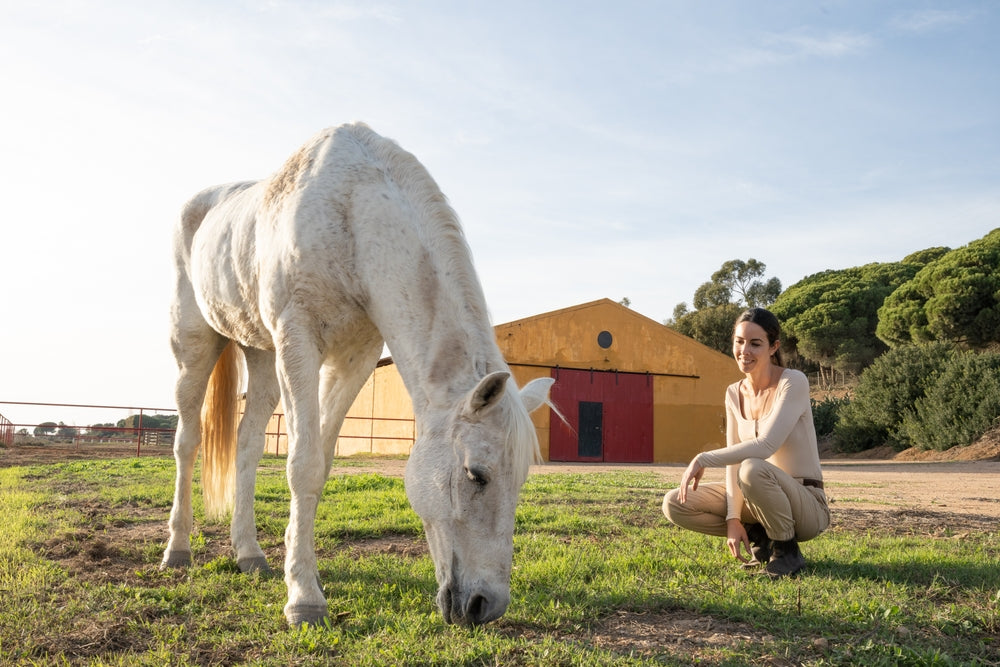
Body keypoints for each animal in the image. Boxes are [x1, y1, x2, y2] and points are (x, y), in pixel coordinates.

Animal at [161, 123, 555, 628]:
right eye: (476, 474)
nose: (486, 606)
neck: (352, 212)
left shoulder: (356, 356)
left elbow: (321, 462)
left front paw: (296, 568)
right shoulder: (298, 340)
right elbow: (303, 465)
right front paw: (304, 599)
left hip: (261, 355)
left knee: (246, 446)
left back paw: (249, 554)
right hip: (194, 346)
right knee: (186, 443)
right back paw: (177, 549)